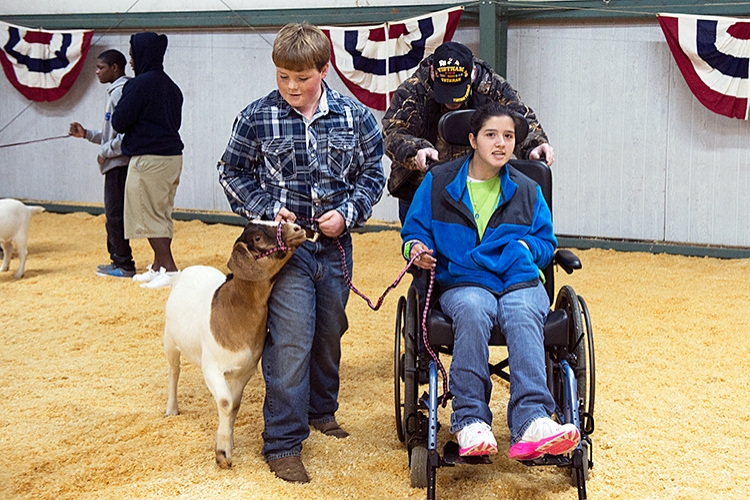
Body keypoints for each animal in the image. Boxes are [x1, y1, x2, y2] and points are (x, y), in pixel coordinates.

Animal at [164, 220, 306, 468]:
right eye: (257, 238)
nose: (297, 228)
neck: (234, 308)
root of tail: (186, 271)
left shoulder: (245, 370)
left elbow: (235, 405)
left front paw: (229, 440)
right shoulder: (212, 368)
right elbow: (225, 402)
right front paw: (222, 453)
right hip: (169, 341)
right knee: (174, 371)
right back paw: (171, 409)